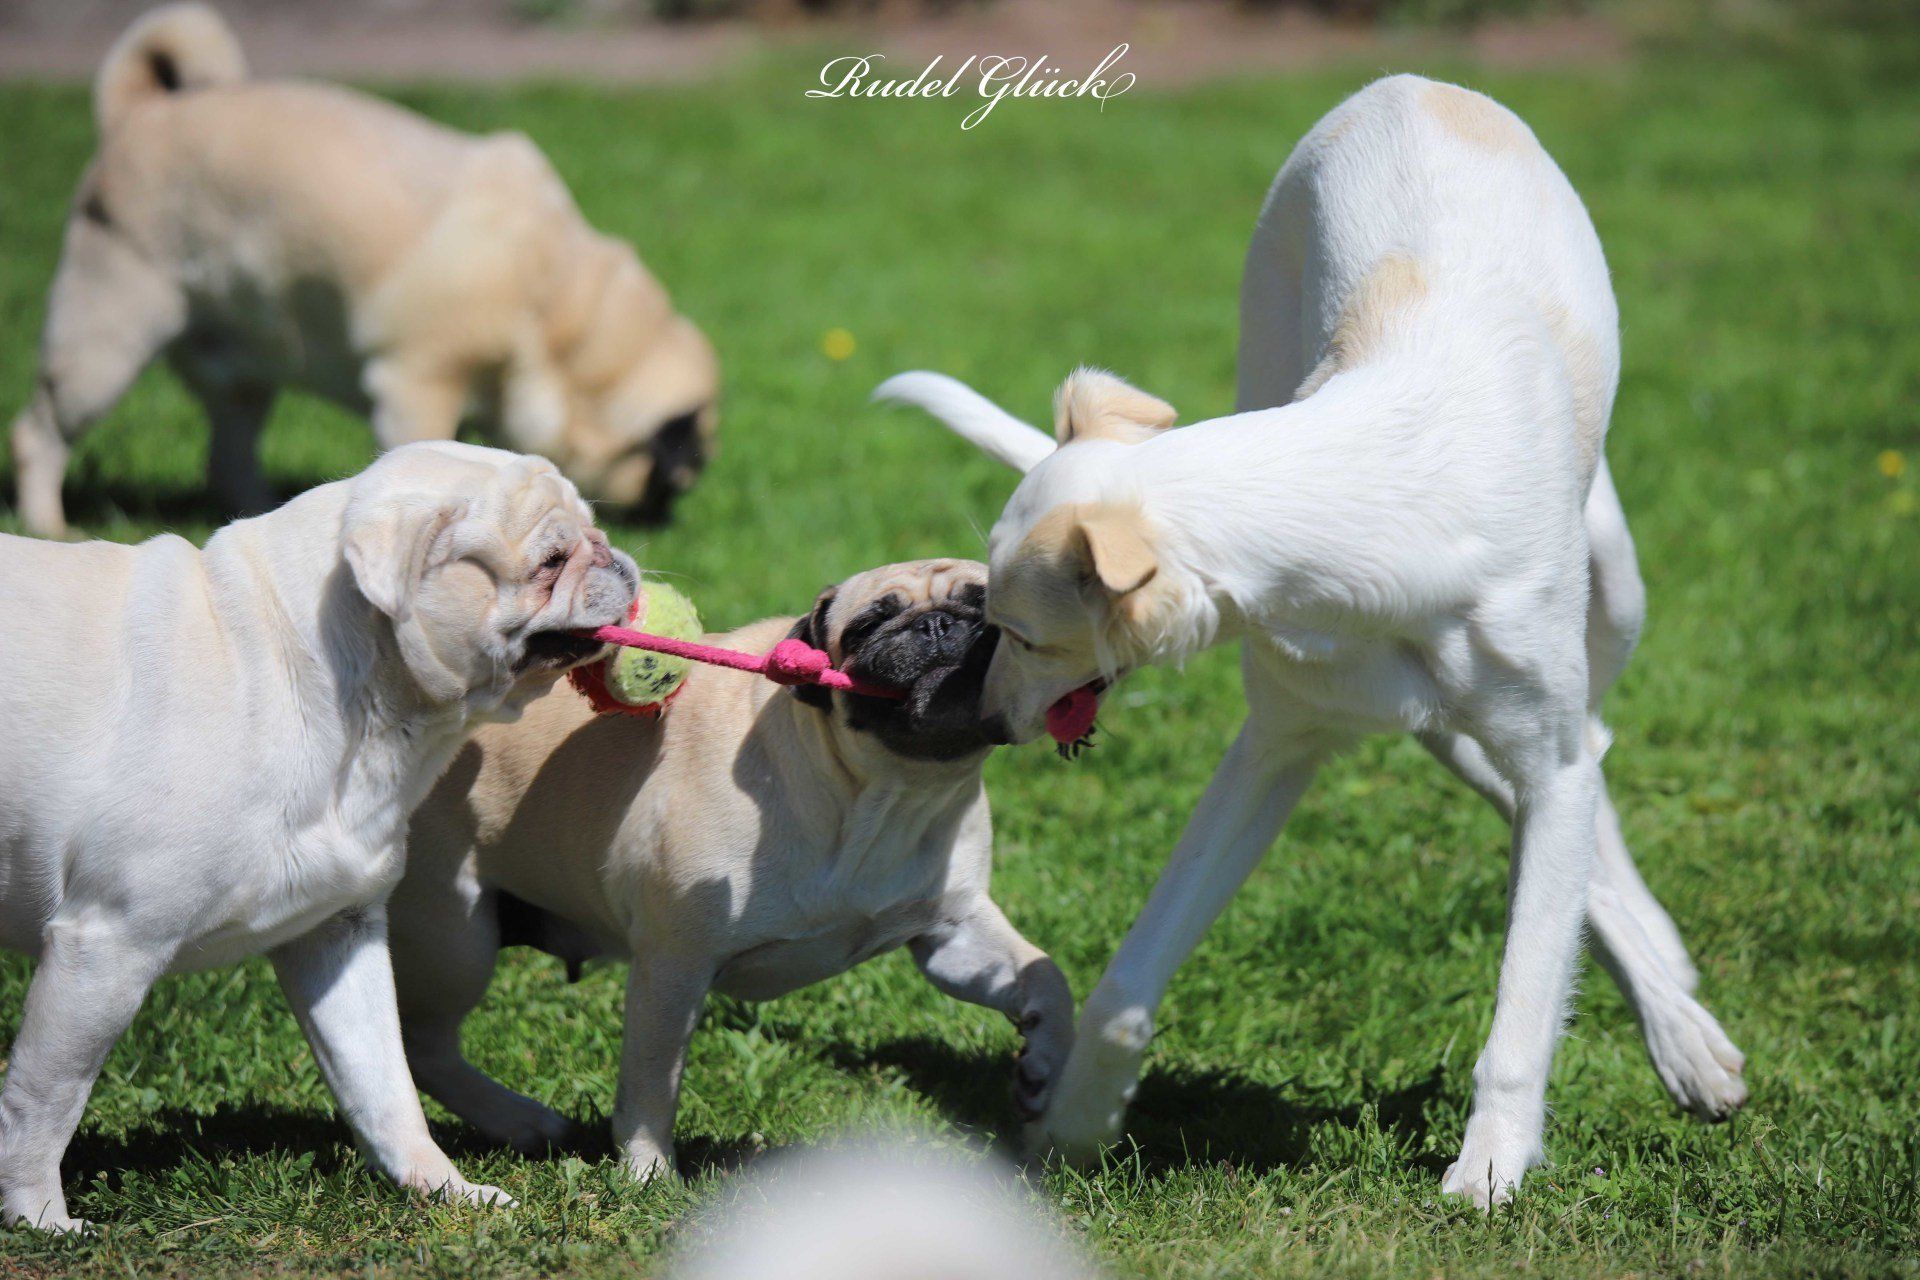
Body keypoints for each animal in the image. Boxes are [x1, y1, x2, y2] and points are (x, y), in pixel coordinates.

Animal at [0, 440, 637, 1230]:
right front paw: (39, 1218)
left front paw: (444, 1188)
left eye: (593, 534)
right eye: (551, 561)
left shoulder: (338, 934)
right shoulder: (107, 945)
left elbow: (382, 1085)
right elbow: (47, 1097)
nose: (615, 558)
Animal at [9, 3, 719, 541]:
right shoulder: (421, 382)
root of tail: (141, 113)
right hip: (104, 339)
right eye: (669, 477)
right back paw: (49, 524)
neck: (560, 311)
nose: (664, 516)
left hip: (242, 372)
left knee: (229, 452)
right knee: (40, 432)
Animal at [388, 560, 1074, 1181]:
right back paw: (517, 1118)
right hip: (453, 938)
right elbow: (650, 1085)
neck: (888, 793)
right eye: (868, 626)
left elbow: (1045, 978)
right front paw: (647, 1175)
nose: (937, 624)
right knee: (425, 1045)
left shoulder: (952, 932)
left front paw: (1042, 1070)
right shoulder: (674, 965)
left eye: (990, 611)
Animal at [875, 75, 1747, 1206]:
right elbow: (1127, 984)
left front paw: (1489, 1168)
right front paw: (1073, 1126)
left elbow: (1525, 989)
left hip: (1613, 580)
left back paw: (1674, 1008)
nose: (975, 715)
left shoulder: (1542, 758)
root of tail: (1408, 83)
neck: (1374, 498)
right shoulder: (1274, 746)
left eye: (1018, 633)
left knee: (1589, 750)